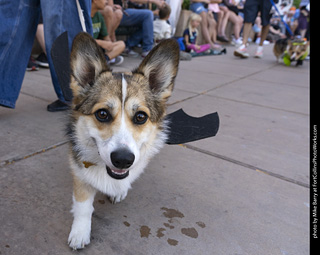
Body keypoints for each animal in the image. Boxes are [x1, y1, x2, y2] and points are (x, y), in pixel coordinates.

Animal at [67, 31, 180, 249]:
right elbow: (83, 206)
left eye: (141, 117)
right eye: (102, 114)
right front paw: (79, 233)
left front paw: (119, 190)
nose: (123, 160)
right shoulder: (79, 174)